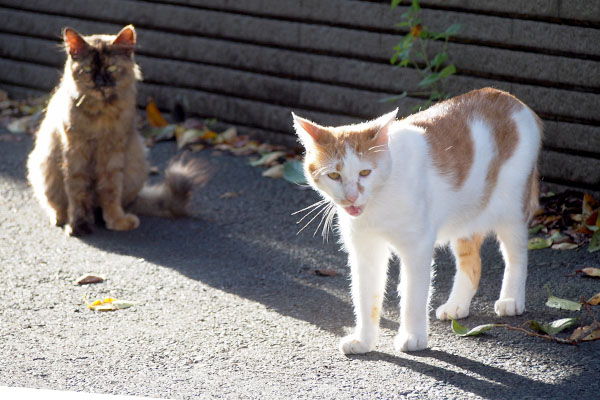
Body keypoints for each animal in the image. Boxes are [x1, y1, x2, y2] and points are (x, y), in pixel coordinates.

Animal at [27, 25, 202, 236]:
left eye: (111, 68)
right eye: (87, 70)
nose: (99, 82)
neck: (100, 115)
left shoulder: (113, 153)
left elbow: (110, 191)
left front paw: (116, 221)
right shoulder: (75, 153)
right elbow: (78, 193)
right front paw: (79, 225)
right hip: (42, 166)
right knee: (57, 205)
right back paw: (61, 218)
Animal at [292, 87, 540, 354]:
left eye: (365, 172)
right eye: (334, 176)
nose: (351, 197)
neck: (379, 201)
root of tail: (508, 97)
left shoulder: (417, 246)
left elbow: (412, 294)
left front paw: (413, 337)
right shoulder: (365, 250)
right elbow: (366, 297)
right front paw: (364, 340)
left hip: (512, 207)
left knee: (517, 254)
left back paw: (511, 299)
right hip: (466, 216)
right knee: (472, 263)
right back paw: (456, 305)